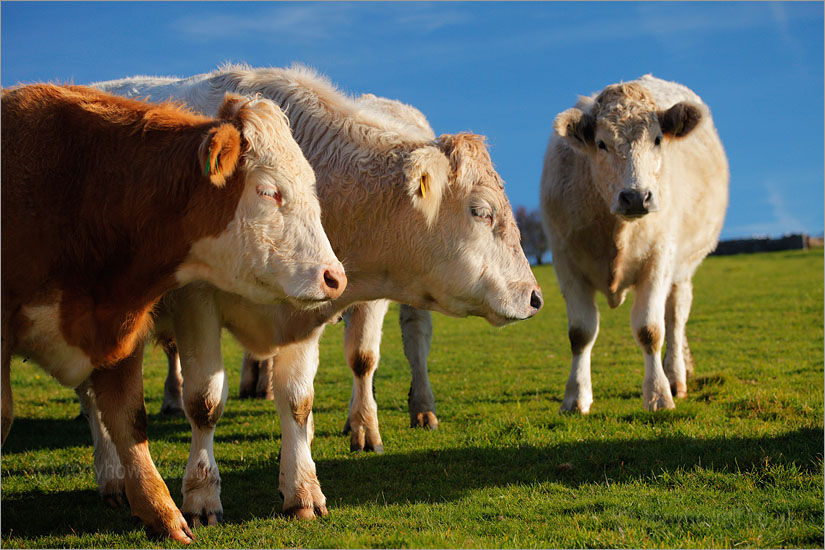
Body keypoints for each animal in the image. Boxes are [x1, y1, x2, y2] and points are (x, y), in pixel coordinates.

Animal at [83, 67, 544, 528]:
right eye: (481, 212)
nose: (536, 297)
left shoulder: (310, 307)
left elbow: (304, 396)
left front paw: (304, 487)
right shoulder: (196, 303)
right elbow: (205, 402)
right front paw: (201, 496)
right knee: (94, 400)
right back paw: (113, 477)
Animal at [540, 76, 728, 414]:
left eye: (657, 139)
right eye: (601, 143)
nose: (636, 196)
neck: (616, 229)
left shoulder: (658, 260)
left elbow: (650, 330)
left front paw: (659, 395)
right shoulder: (565, 262)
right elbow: (580, 333)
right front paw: (575, 398)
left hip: (681, 267)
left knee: (676, 317)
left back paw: (676, 375)